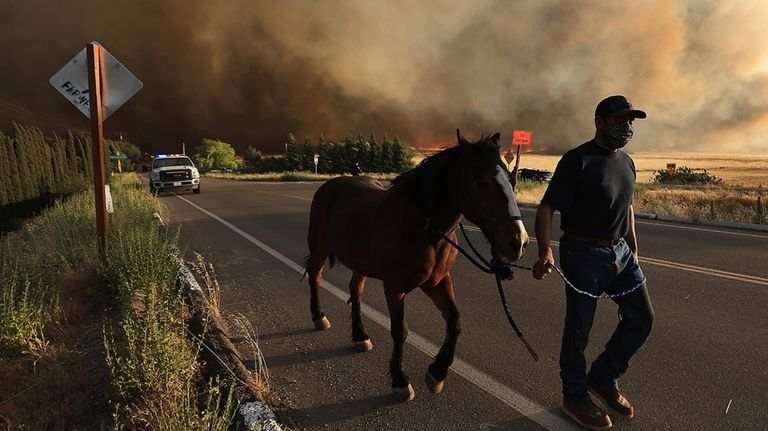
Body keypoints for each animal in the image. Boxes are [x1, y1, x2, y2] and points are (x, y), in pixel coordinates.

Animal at [304, 130, 528, 404]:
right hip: (319, 249)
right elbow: (400, 331)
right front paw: (400, 381)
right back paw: (319, 317)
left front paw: (437, 373)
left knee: (355, 290)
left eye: (512, 179)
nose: (517, 242)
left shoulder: (438, 282)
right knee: (315, 277)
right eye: (481, 181)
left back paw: (360, 335)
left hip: (360, 262)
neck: (422, 229)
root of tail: (330, 185)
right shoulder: (394, 288)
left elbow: (455, 321)